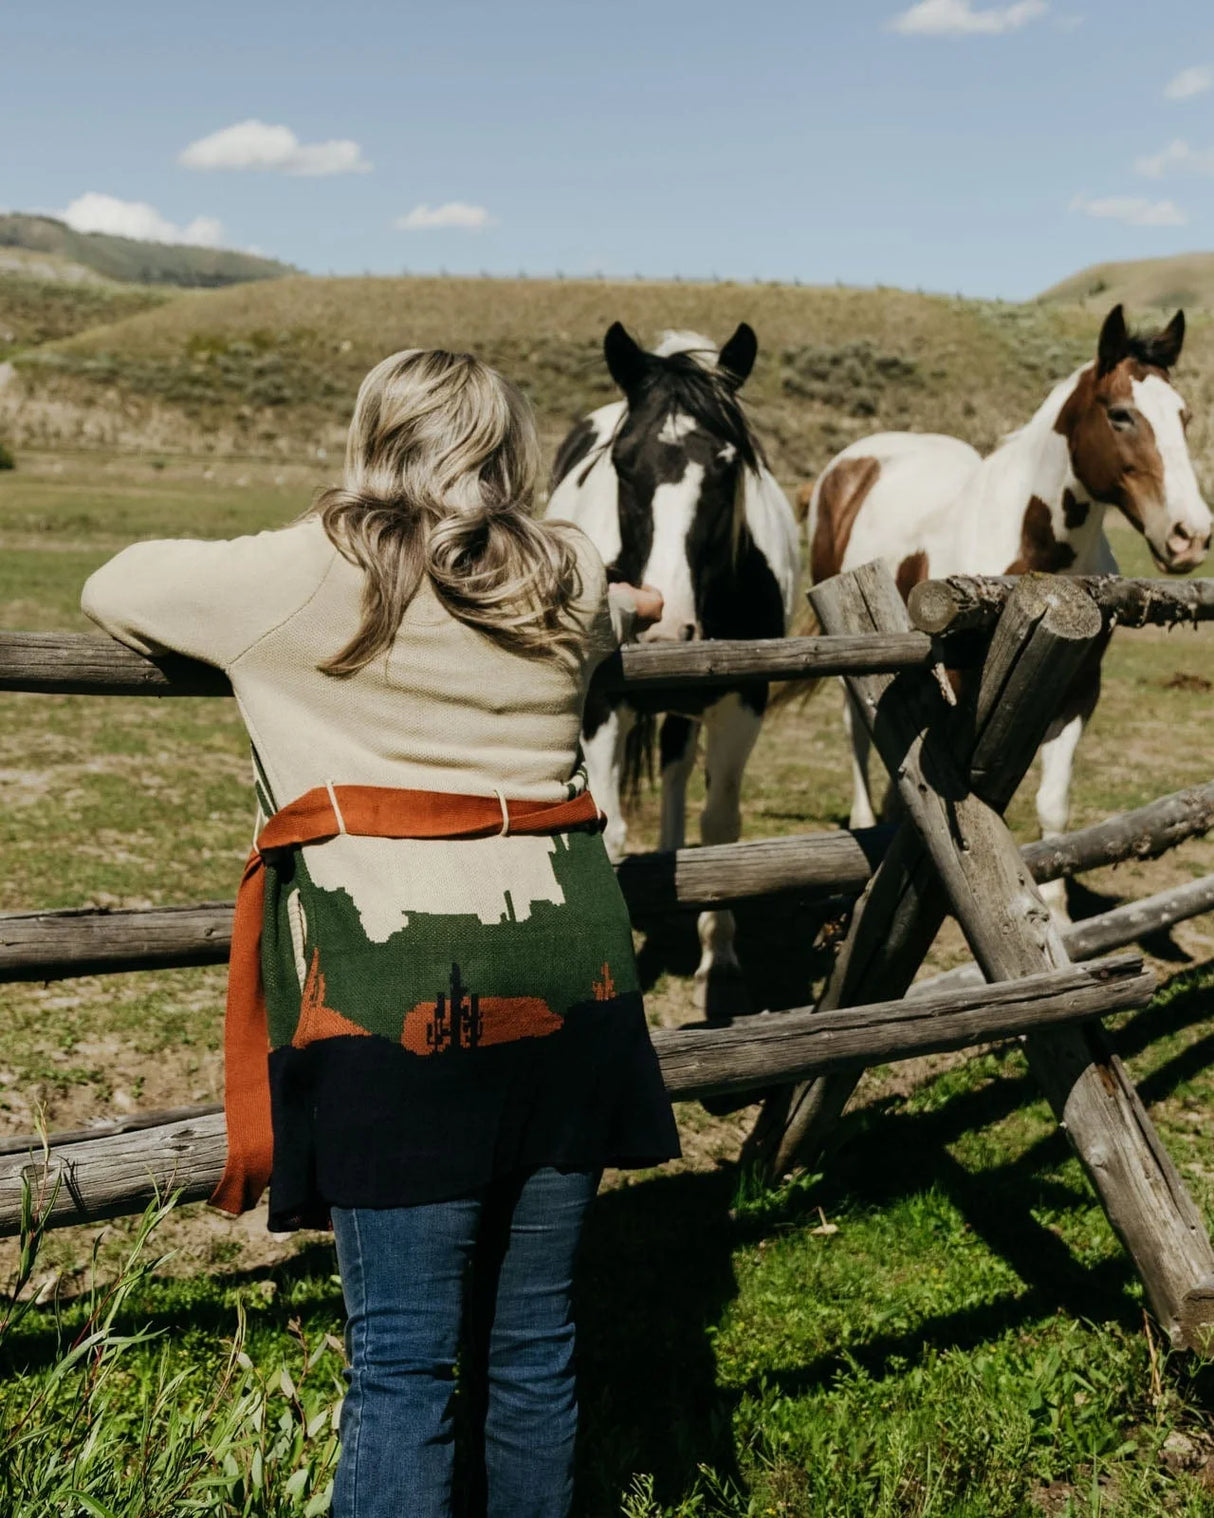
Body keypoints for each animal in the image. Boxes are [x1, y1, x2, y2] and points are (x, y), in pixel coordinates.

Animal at [546, 323, 795, 1007]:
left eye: (727, 464)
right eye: (624, 463)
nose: (664, 625)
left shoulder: (742, 703)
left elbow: (720, 824)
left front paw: (719, 951)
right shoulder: (602, 706)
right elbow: (607, 831)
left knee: (678, 770)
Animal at [813, 299, 1207, 910]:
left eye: (1183, 416)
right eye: (1120, 415)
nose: (1191, 534)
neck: (1038, 552)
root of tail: (854, 462)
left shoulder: (1080, 691)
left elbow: (1053, 804)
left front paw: (1060, 911)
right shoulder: (954, 681)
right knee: (857, 728)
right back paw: (862, 817)